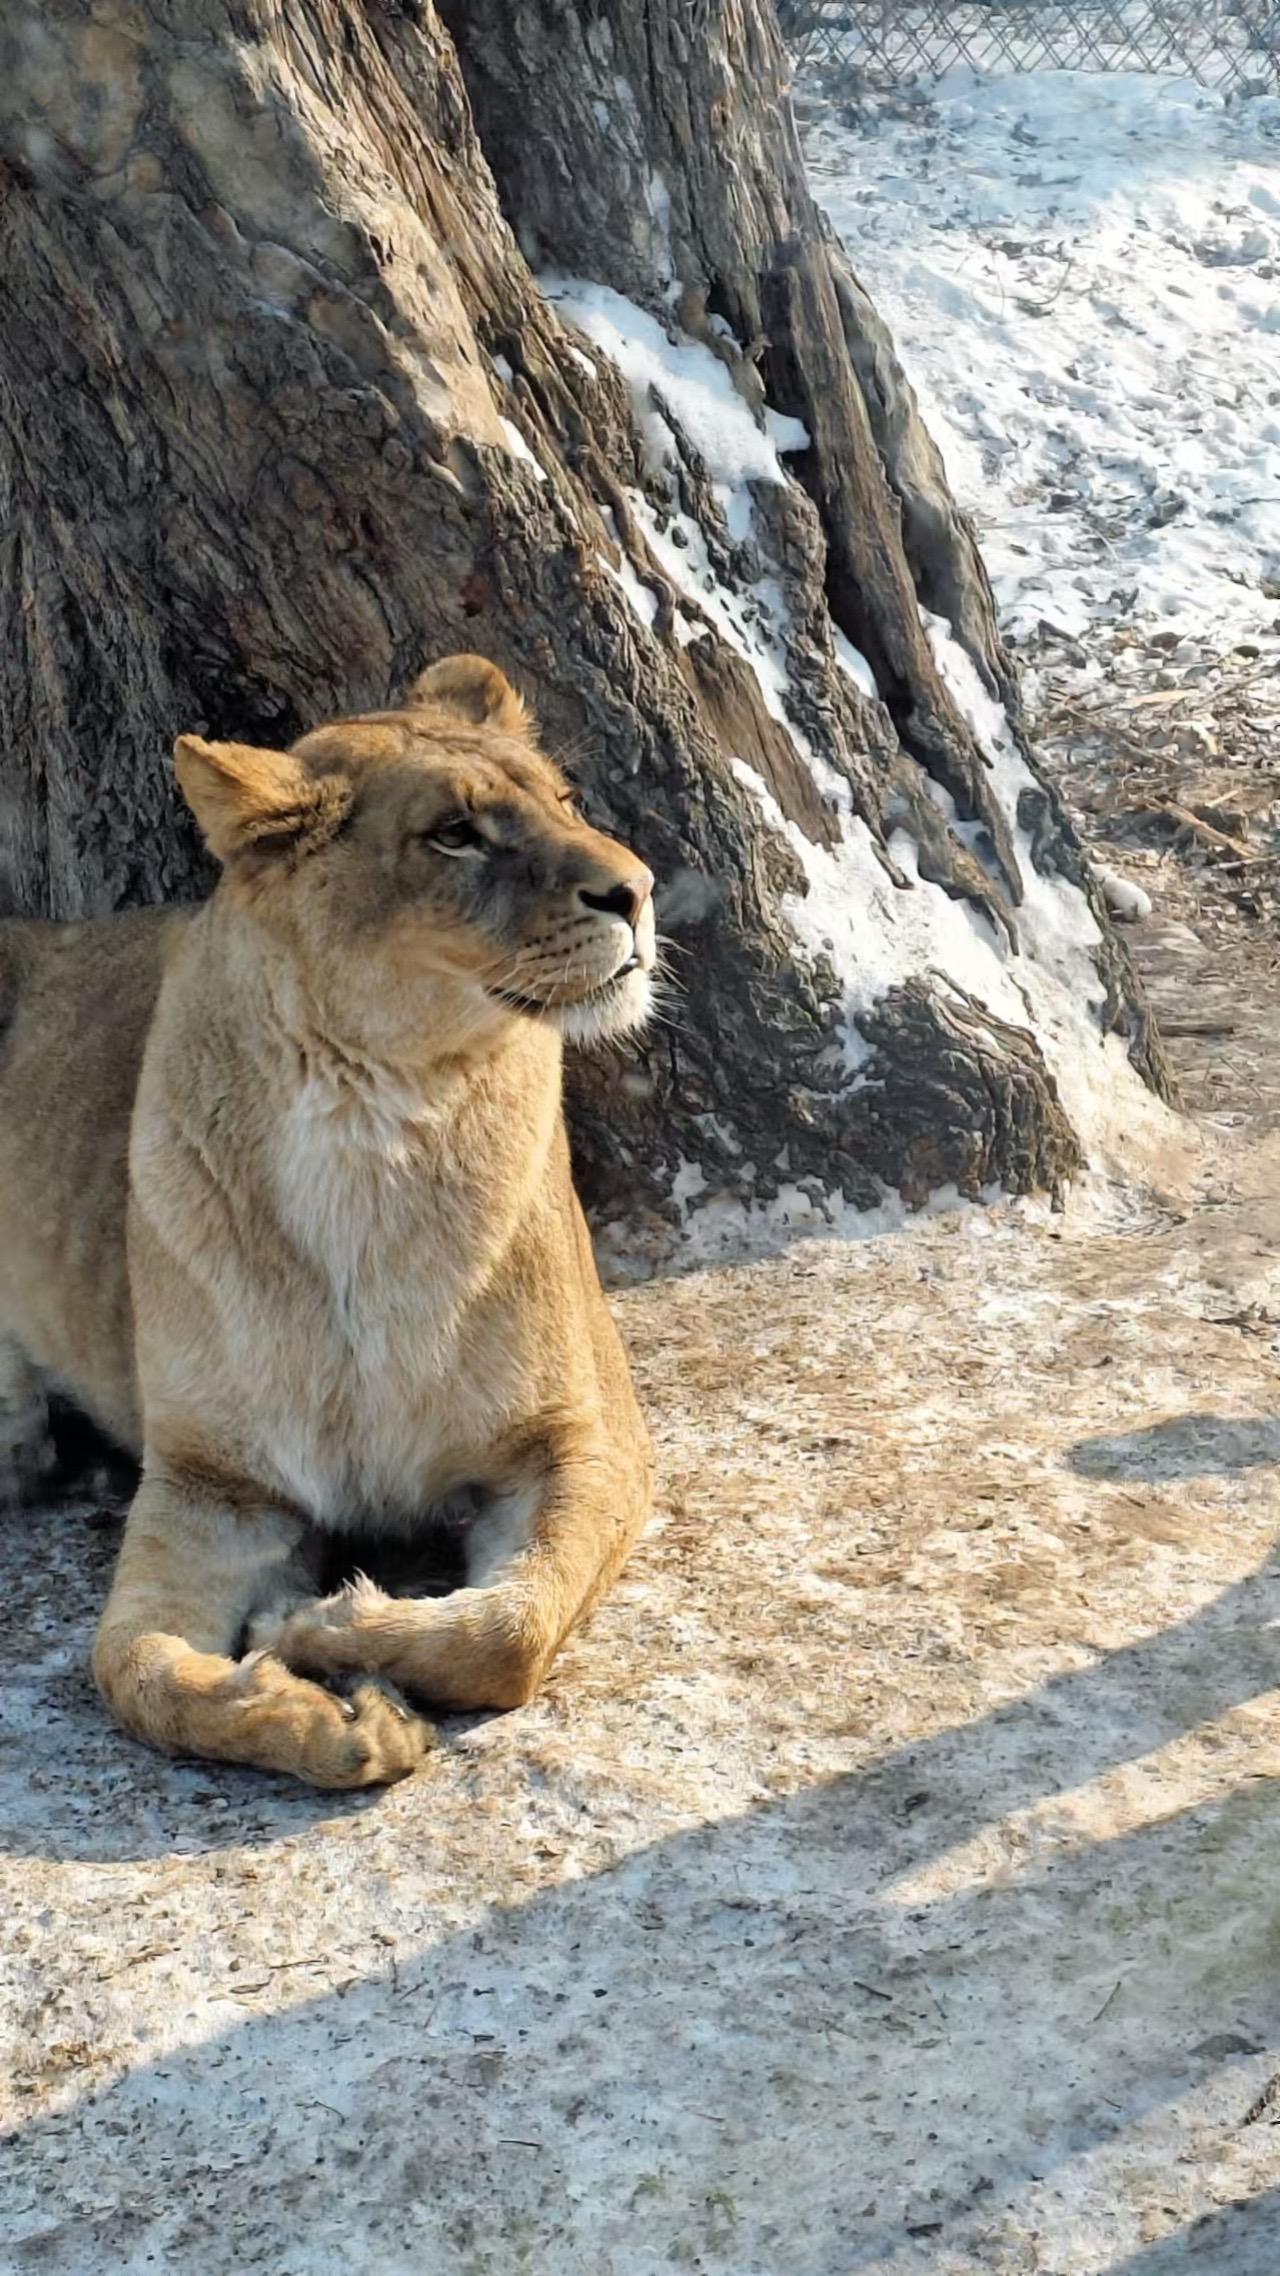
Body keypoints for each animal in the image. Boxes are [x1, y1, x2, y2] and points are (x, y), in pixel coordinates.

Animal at [0, 656, 656, 1787]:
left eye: (566, 800)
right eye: (454, 833)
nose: (639, 888)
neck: (372, 1114)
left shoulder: (583, 1433)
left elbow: (509, 1629)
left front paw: (318, 1631)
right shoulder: (214, 1484)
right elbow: (132, 1667)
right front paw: (324, 1721)